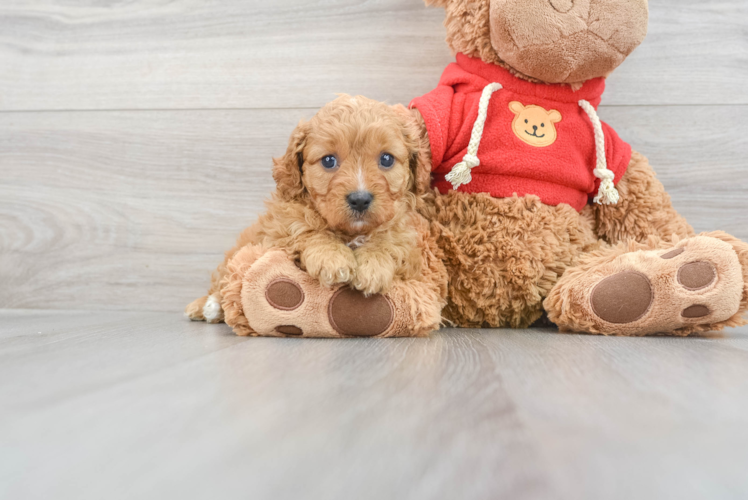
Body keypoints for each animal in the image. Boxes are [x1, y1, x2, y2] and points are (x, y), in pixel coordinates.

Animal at [187, 94, 448, 336]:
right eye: (329, 160)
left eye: (386, 159)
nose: (360, 199)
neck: (350, 232)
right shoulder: (278, 227)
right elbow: (304, 228)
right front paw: (331, 257)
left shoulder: (408, 233)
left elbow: (392, 238)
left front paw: (374, 264)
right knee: (221, 281)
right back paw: (207, 306)